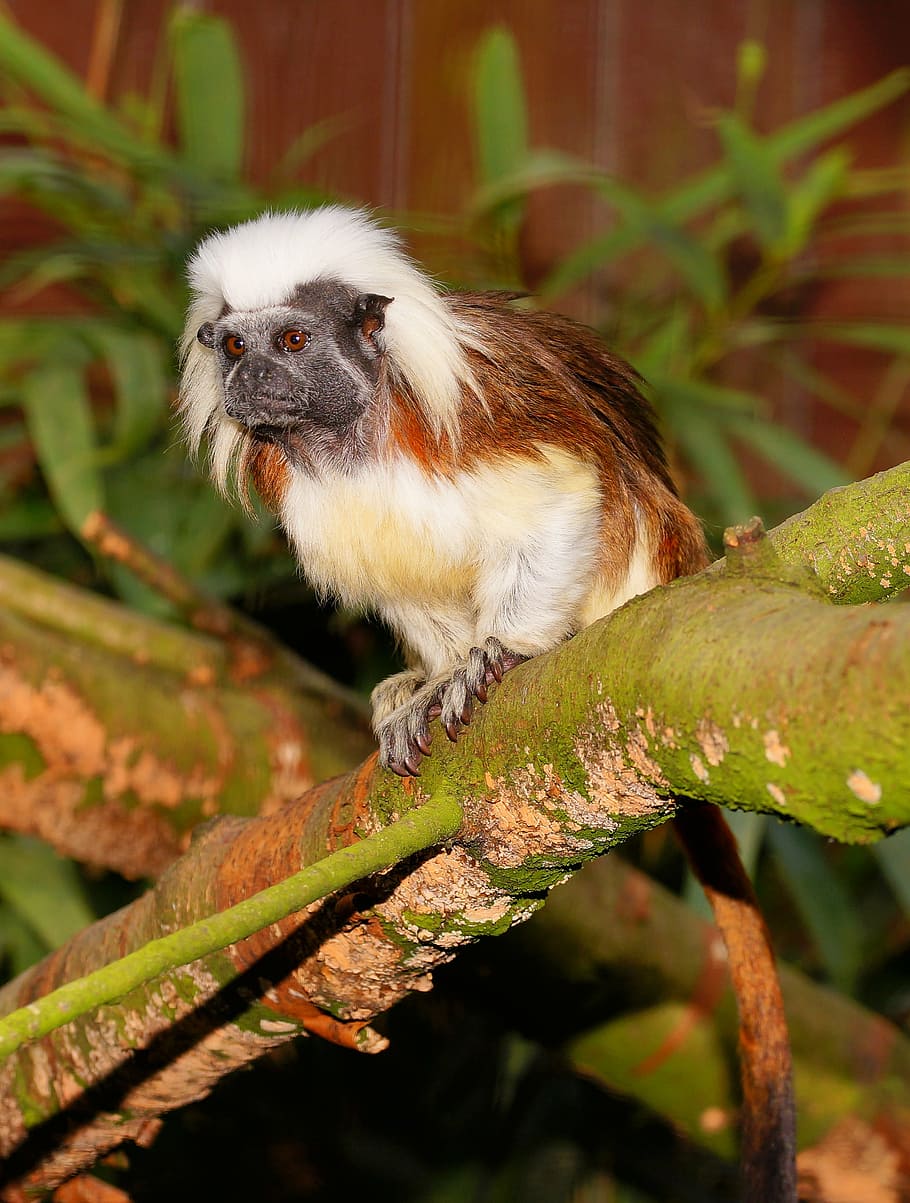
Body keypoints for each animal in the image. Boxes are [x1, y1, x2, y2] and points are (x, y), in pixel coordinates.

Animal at [179, 206, 796, 1200]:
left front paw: (500, 654)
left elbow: (566, 499)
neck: (352, 438)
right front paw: (430, 682)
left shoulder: (481, 425)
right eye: (234, 345)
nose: (250, 377)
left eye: (294, 341)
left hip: (647, 556)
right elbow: (413, 597)